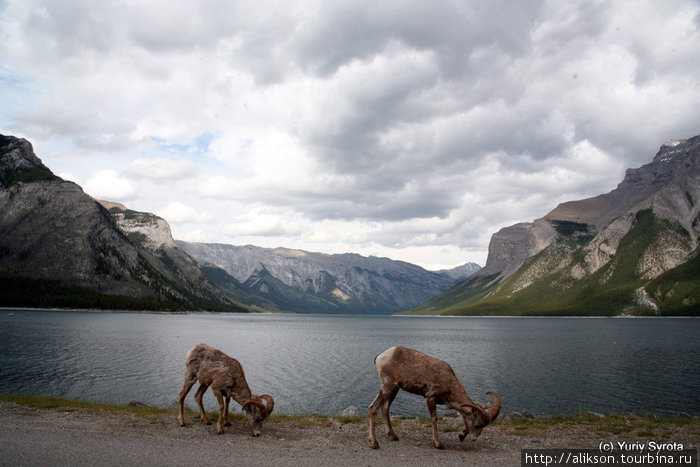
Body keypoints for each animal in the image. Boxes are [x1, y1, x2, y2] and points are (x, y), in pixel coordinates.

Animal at [370, 348, 500, 450]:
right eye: (477, 425)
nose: (474, 439)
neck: (448, 380)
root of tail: (380, 357)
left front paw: (461, 436)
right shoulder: (430, 398)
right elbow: (434, 419)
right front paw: (438, 443)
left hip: (394, 389)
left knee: (385, 408)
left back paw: (393, 436)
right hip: (388, 386)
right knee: (373, 408)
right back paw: (374, 443)